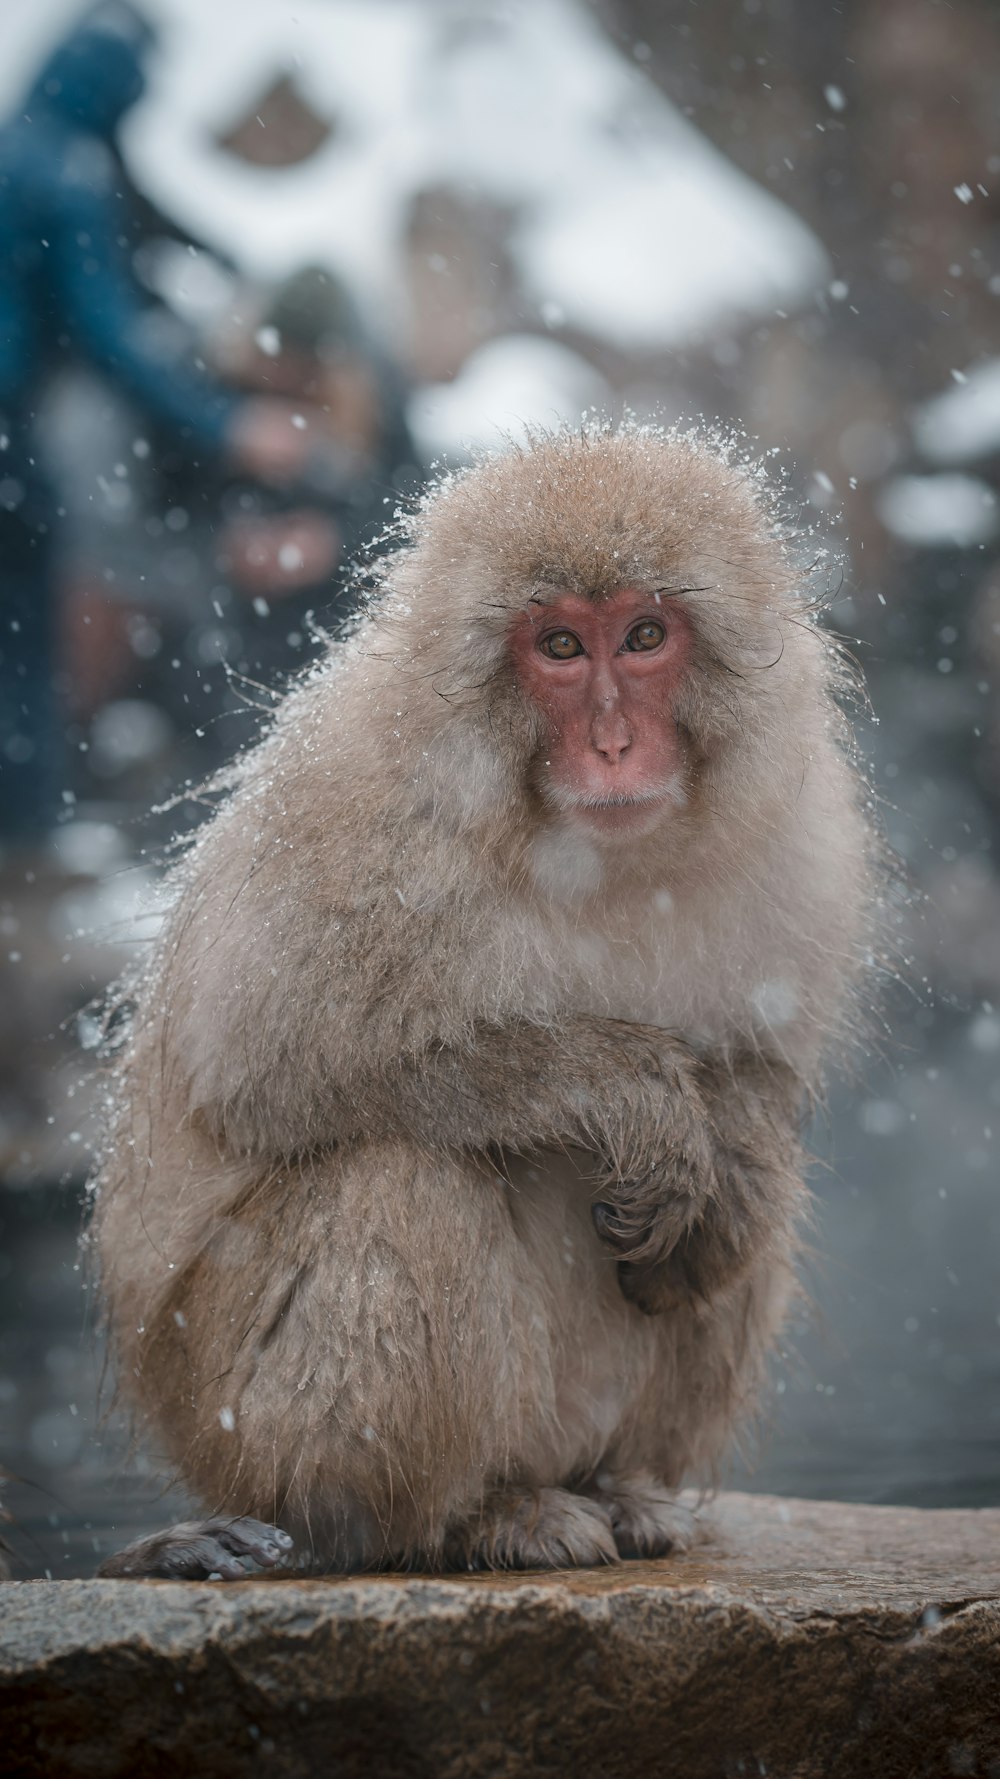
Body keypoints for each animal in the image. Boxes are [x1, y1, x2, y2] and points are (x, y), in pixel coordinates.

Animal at [95, 423, 871, 1579]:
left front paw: (727, 1166)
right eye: (558, 648)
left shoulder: (796, 828)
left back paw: (619, 1484)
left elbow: (758, 1067)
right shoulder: (351, 828)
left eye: (645, 635)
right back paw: (438, 1521)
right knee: (396, 1178)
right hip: (220, 1406)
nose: (613, 745)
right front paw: (630, 1094)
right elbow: (266, 1074)